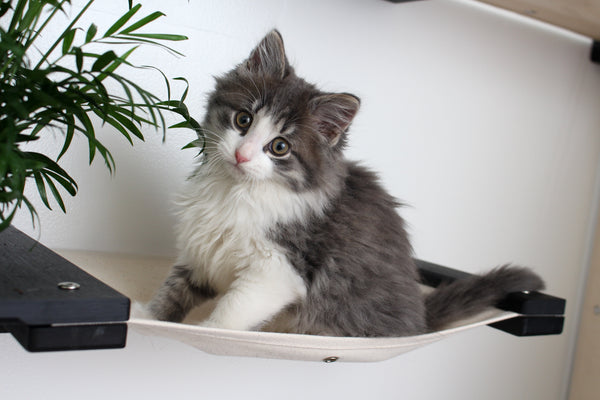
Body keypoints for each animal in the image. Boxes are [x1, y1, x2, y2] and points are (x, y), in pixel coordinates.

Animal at [146, 29, 544, 336]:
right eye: (243, 120)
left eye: (280, 147)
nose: (242, 155)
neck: (236, 192)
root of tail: (419, 317)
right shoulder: (200, 252)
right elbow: (173, 290)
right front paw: (148, 317)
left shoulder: (276, 271)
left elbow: (232, 310)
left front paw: (209, 330)